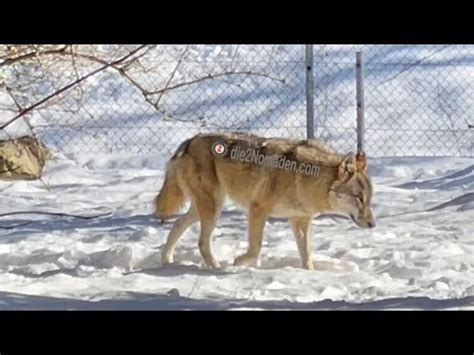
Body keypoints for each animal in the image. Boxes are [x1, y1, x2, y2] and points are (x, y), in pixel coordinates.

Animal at [154, 133, 376, 270]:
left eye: (369, 199)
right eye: (359, 198)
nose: (373, 224)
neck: (304, 178)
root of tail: (188, 141)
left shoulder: (300, 221)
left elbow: (307, 256)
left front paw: (308, 274)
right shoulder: (257, 210)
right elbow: (256, 248)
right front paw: (238, 263)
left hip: (204, 209)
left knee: (177, 224)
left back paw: (167, 261)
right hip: (213, 208)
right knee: (201, 241)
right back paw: (215, 268)